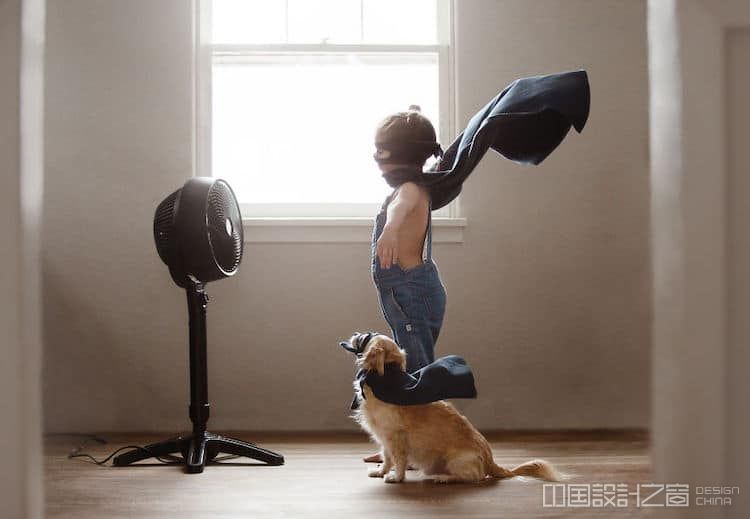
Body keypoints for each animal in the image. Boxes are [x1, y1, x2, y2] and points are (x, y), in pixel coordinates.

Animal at [350, 336, 560, 486]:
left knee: (474, 477)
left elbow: (398, 459)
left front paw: (397, 477)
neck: (385, 379)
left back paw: (444, 478)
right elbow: (387, 458)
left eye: (366, 337)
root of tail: (490, 461)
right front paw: (381, 472)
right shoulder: (384, 438)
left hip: (457, 461)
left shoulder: (396, 437)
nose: (355, 334)